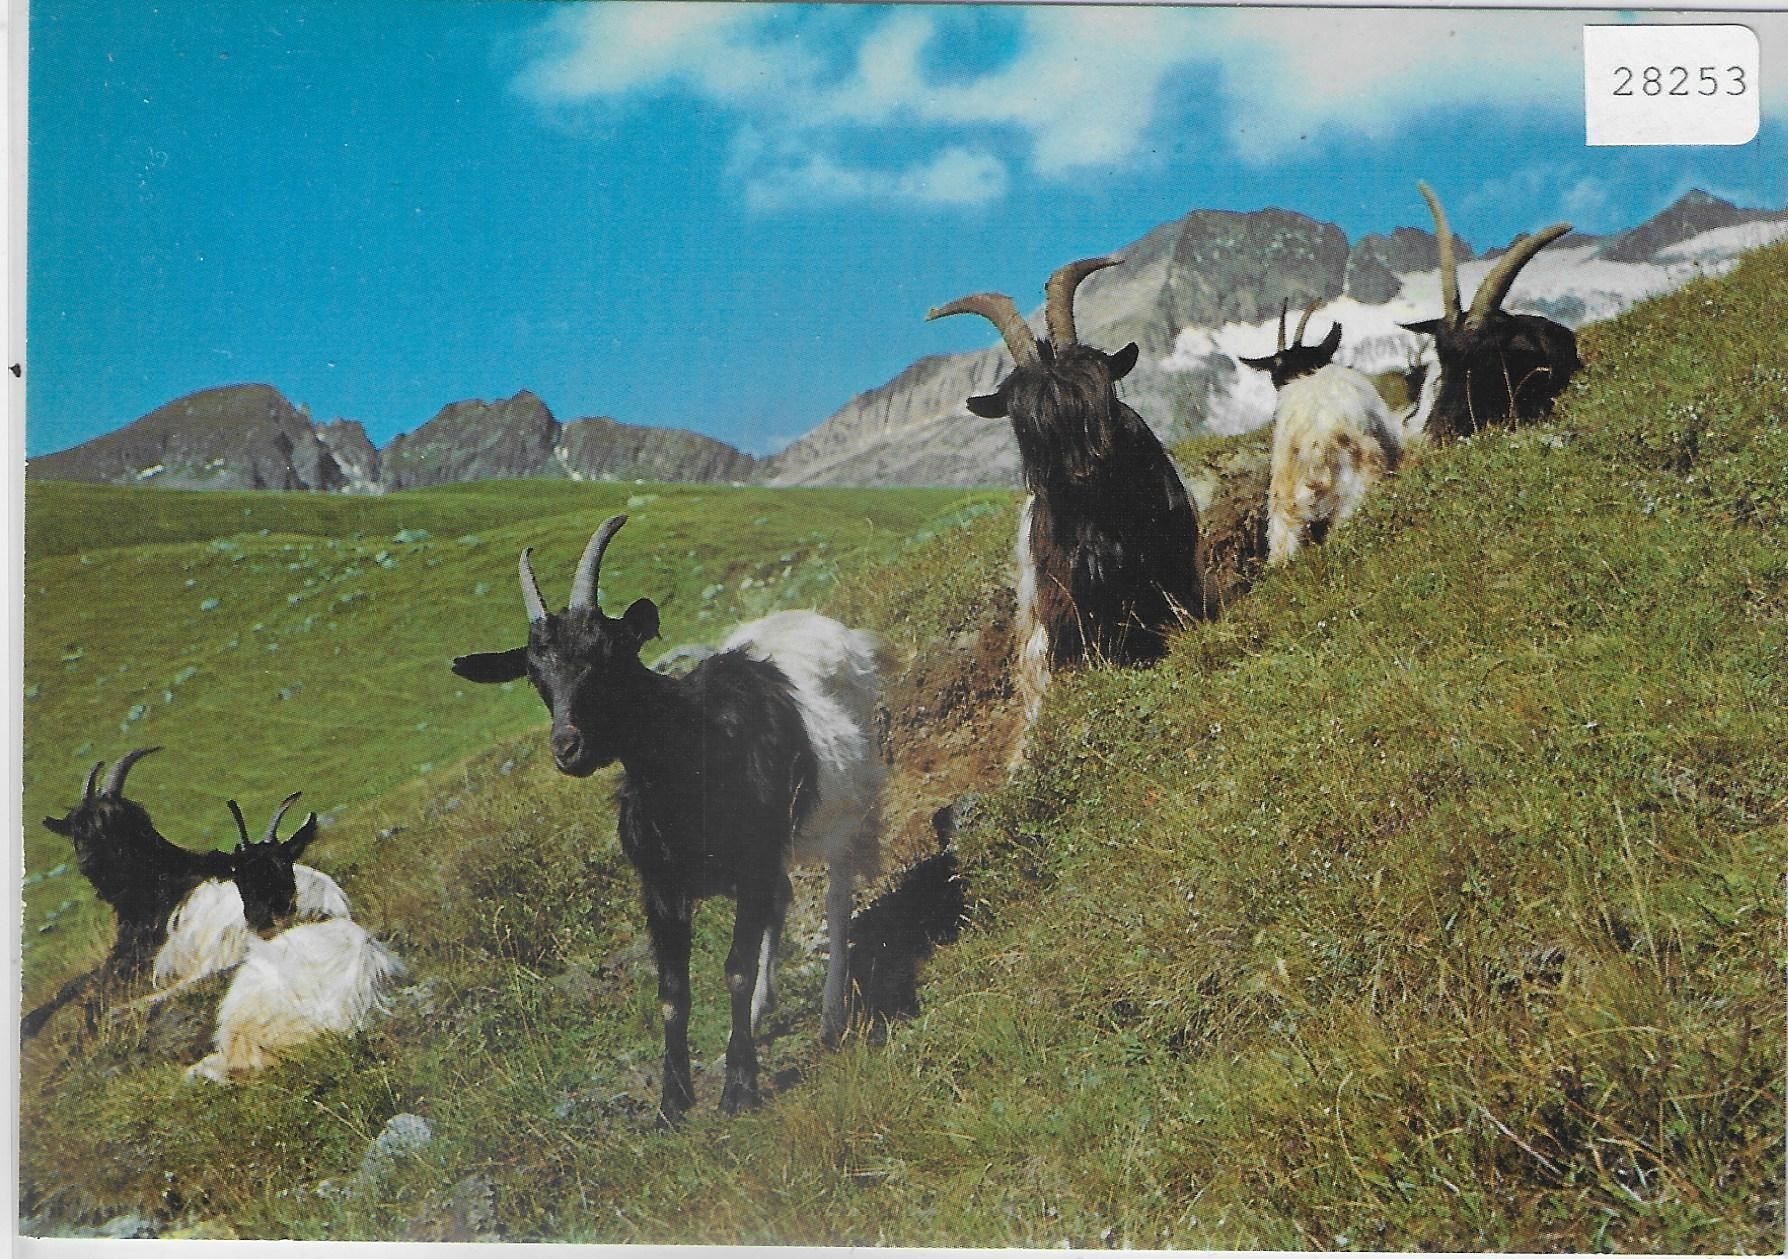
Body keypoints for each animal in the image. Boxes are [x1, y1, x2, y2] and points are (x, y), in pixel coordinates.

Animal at [27, 748, 236, 1039]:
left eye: (109, 823)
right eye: (76, 831)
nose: (87, 862)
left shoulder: (134, 953)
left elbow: (87, 982)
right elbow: (74, 983)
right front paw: (30, 1023)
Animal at [450, 515, 884, 1122]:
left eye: (608, 656)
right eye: (536, 677)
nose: (568, 748)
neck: (690, 757)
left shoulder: (751, 862)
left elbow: (734, 968)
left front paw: (738, 1088)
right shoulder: (660, 885)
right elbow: (672, 994)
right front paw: (672, 1101)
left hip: (848, 806)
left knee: (837, 899)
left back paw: (830, 1017)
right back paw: (761, 1013)